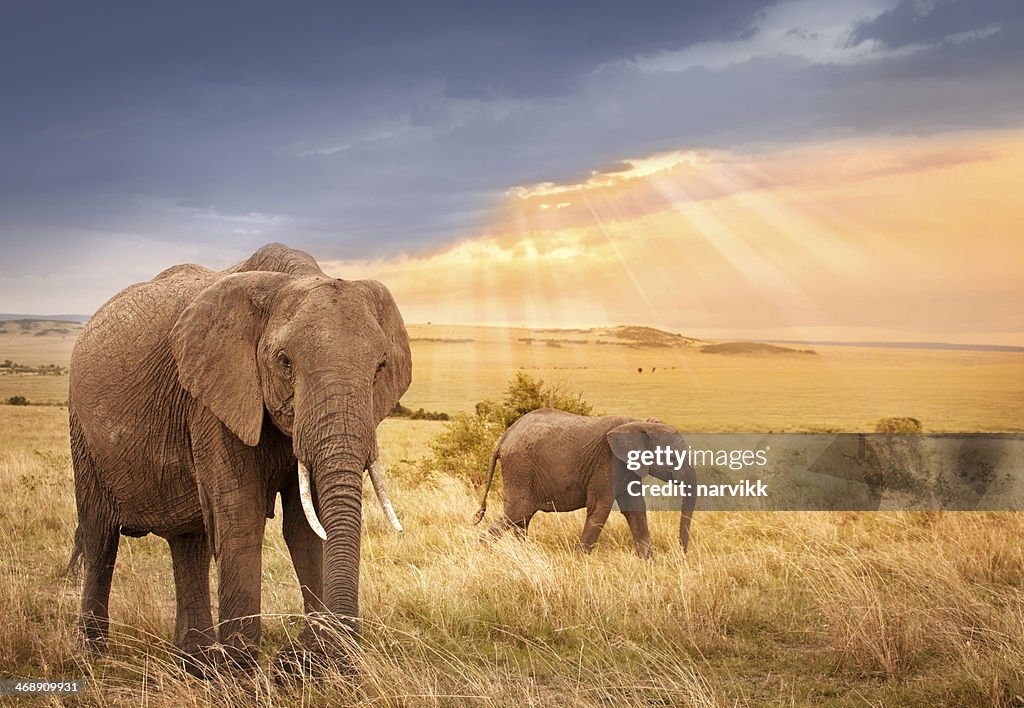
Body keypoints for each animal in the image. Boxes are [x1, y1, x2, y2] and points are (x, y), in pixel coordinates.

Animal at [66, 243, 411, 676]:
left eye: (380, 367)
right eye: (284, 362)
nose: (304, 657)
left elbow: (307, 527)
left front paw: (310, 664)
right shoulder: (212, 396)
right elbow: (241, 513)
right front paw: (242, 670)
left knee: (189, 541)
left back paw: (195, 663)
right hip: (82, 430)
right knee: (100, 537)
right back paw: (92, 659)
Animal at [471, 409, 696, 561]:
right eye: (672, 457)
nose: (681, 556)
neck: (639, 423)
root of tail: (503, 438)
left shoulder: (627, 467)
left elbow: (635, 510)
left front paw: (649, 562)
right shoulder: (607, 462)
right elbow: (600, 507)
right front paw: (580, 561)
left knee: (521, 518)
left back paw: (524, 554)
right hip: (520, 468)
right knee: (518, 513)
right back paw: (483, 551)